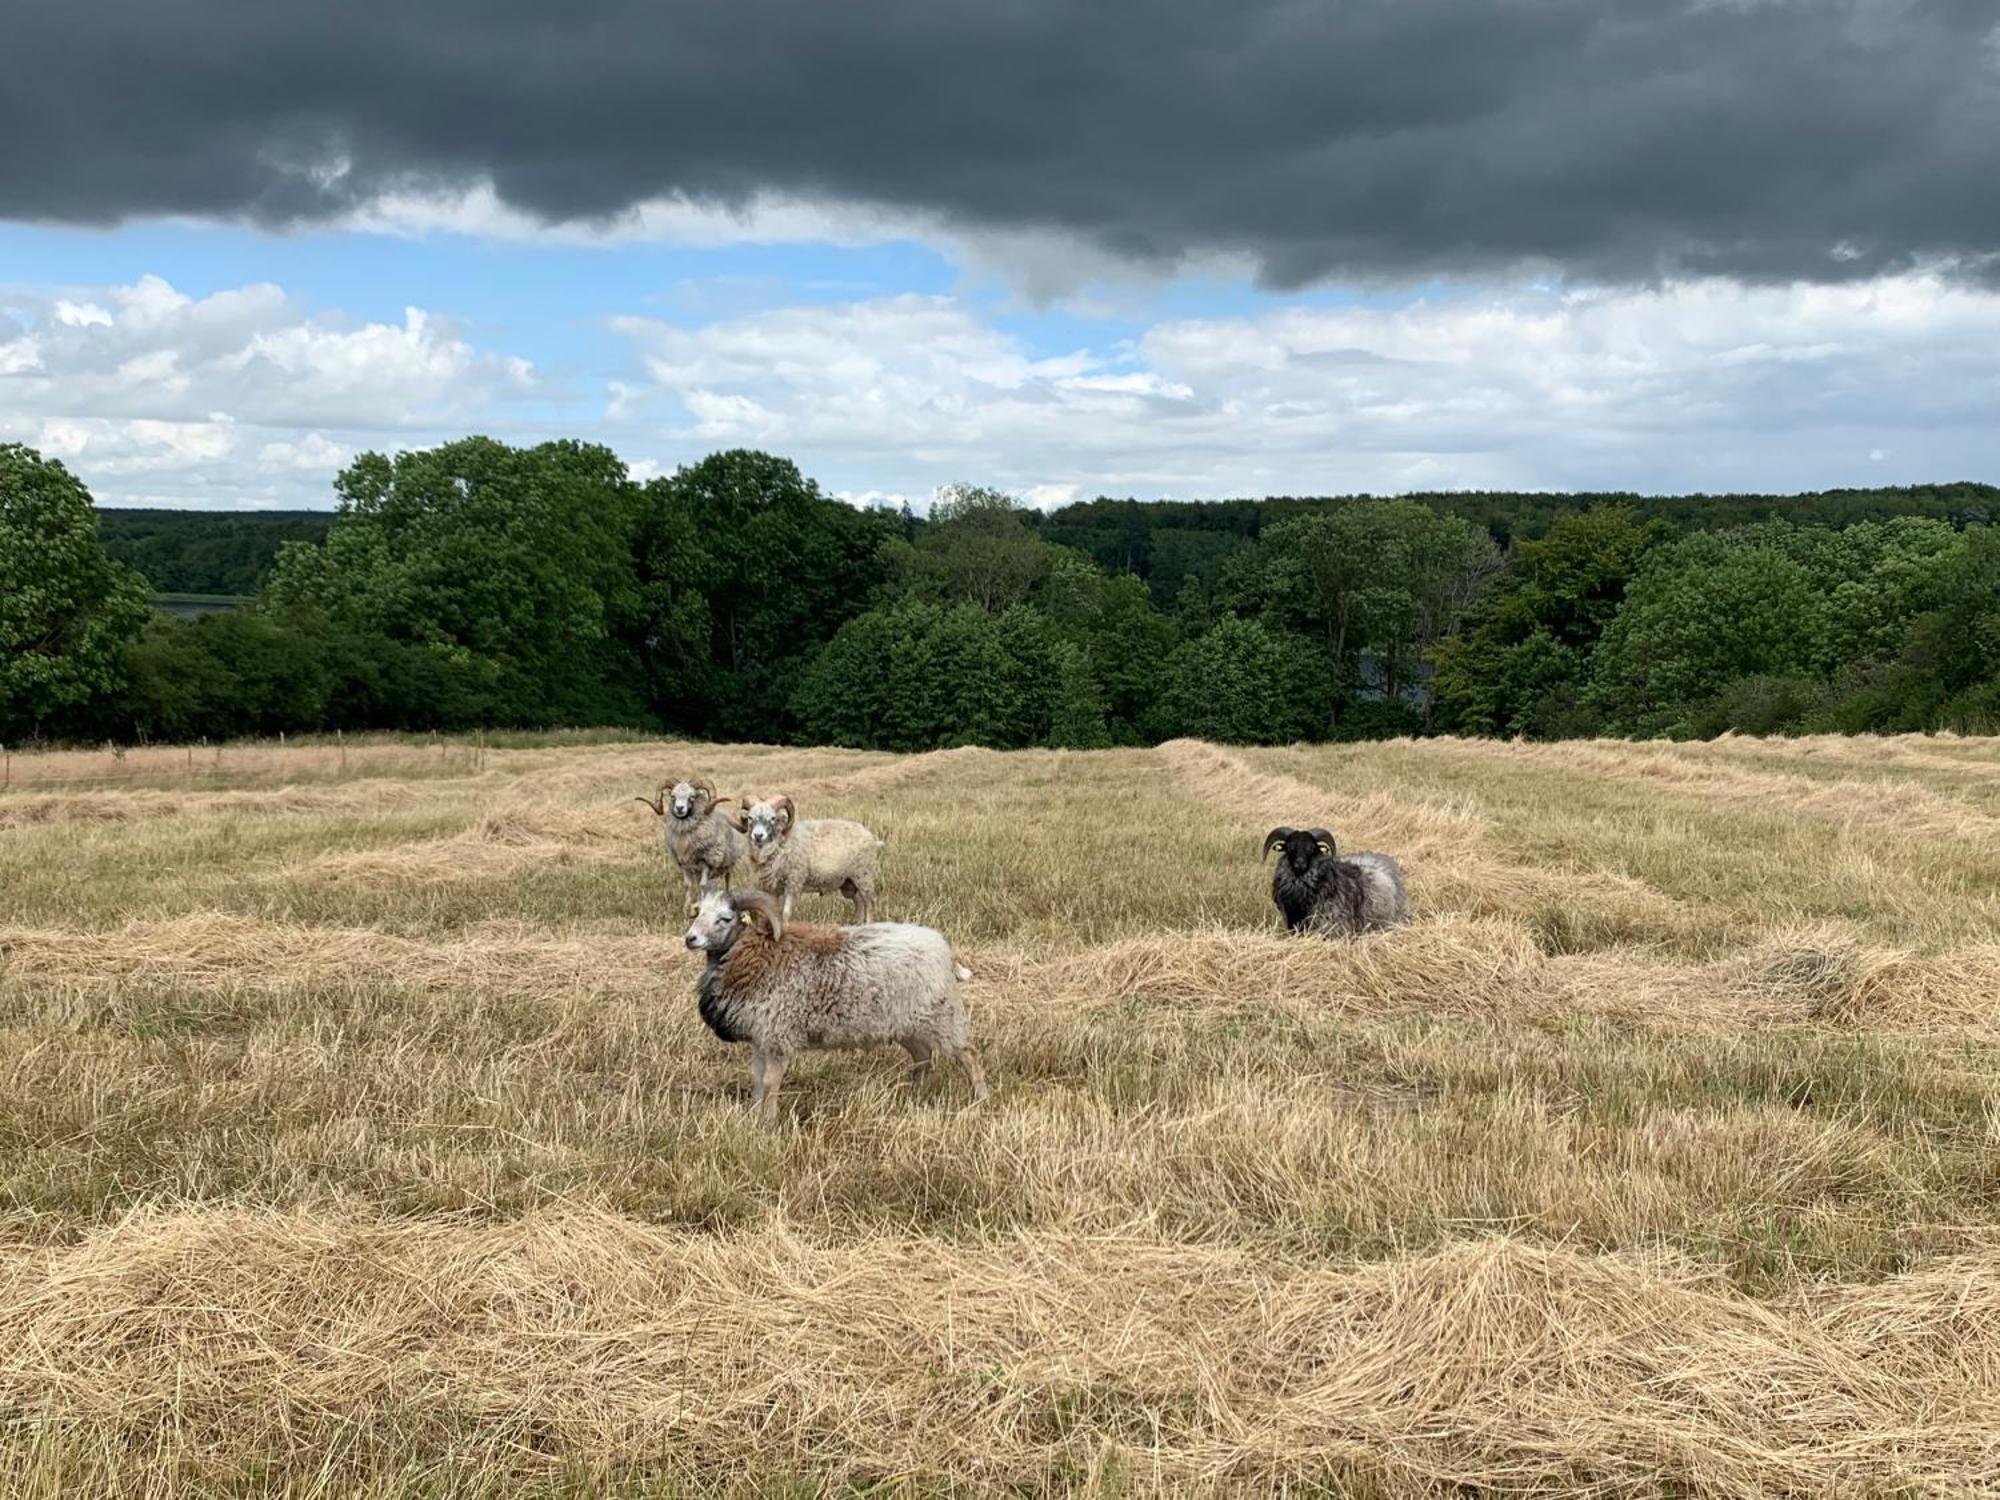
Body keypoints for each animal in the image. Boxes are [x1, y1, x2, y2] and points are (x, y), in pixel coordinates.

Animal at [632, 780, 744, 912]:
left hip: (728, 863)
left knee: (726, 880)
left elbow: (702, 885)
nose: (679, 808)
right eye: (673, 796)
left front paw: (701, 906)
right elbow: (687, 885)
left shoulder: (706, 862)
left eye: (692, 797)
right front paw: (686, 907)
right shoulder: (684, 863)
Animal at [684, 888, 988, 1120]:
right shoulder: (762, 1038)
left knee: (969, 1056)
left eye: (725, 918)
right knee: (923, 1060)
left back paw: (980, 1099)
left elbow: (770, 1083)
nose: (690, 939)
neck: (756, 954)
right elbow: (758, 1081)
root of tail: (945, 951)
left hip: (944, 1017)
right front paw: (754, 1119)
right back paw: (914, 1098)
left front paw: (768, 1125)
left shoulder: (779, 1037)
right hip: (908, 1025)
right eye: (698, 913)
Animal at [736, 800, 884, 928]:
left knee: (870, 903)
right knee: (859, 902)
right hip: (849, 882)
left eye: (772, 818)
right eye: (750, 818)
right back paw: (857, 925)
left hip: (864, 876)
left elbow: (785, 914)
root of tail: (872, 838)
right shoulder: (773, 888)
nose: (758, 836)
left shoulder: (794, 882)